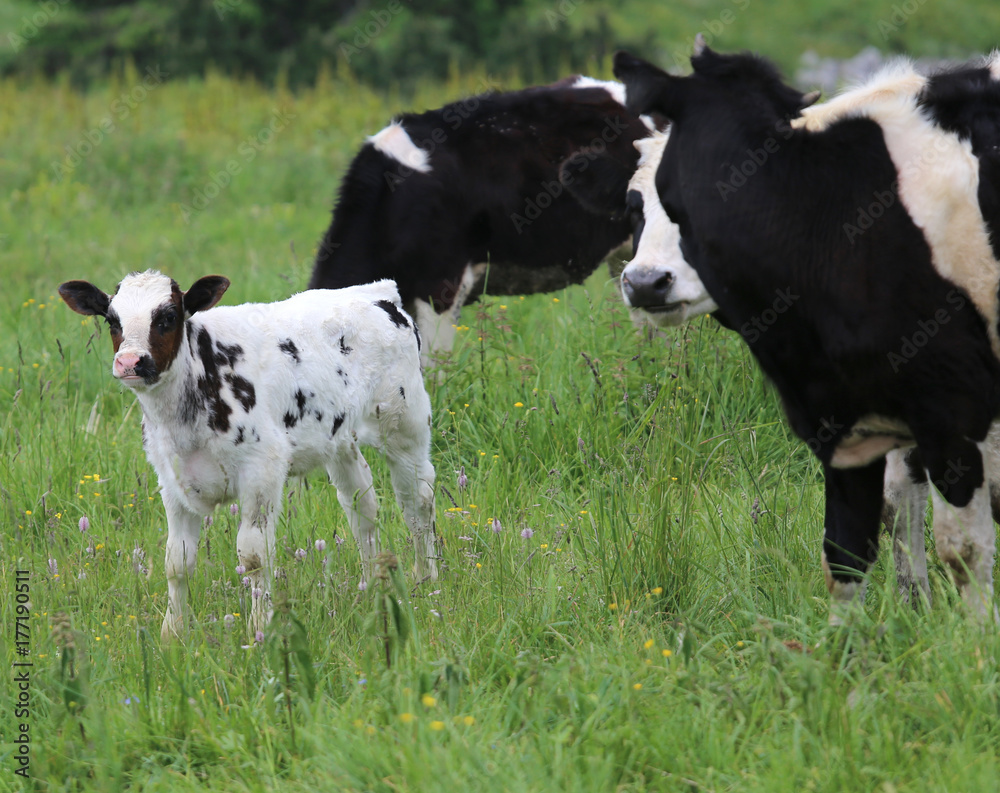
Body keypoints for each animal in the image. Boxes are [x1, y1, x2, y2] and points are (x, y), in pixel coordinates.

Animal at [60, 272, 436, 636]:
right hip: (340, 440)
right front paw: (172, 634)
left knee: (417, 502)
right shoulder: (173, 482)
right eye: (112, 320)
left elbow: (254, 557)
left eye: (168, 317)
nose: (130, 361)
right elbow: (177, 562)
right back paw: (371, 587)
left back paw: (427, 581)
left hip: (405, 425)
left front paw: (259, 630)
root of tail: (376, 291)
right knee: (361, 506)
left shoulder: (262, 471)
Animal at [608, 40, 1000, 616]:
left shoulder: (956, 407)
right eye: (634, 207)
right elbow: (879, 520)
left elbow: (966, 540)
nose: (645, 282)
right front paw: (914, 609)